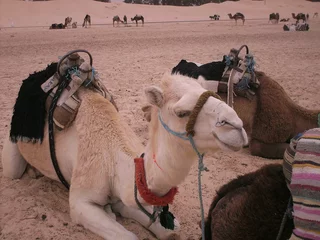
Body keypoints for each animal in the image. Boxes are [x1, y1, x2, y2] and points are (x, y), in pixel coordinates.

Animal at [2, 68, 246, 239]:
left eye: (214, 96)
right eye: (182, 112)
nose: (237, 127)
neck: (114, 160)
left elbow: (171, 229)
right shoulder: (80, 202)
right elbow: (128, 235)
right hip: (13, 147)